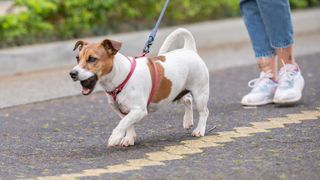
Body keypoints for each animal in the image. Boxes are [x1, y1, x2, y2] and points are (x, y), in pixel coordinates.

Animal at [69, 27, 210, 146]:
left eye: (92, 59)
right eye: (77, 58)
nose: (72, 73)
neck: (122, 77)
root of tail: (189, 50)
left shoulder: (139, 110)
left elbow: (123, 123)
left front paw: (115, 137)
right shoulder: (121, 111)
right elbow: (128, 124)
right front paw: (129, 138)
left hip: (200, 94)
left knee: (204, 112)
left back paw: (199, 130)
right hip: (175, 93)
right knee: (188, 100)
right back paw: (187, 121)